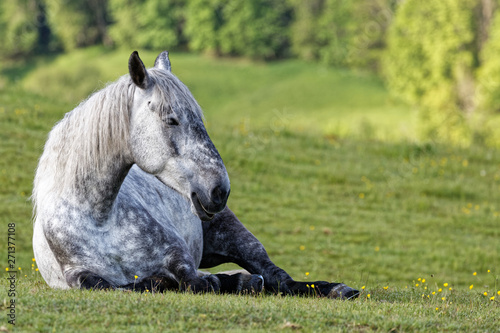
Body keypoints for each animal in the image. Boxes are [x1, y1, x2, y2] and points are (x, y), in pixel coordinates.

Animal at [32, 51, 360, 298]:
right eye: (171, 119)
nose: (219, 190)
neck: (100, 218)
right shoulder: (77, 275)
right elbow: (106, 284)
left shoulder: (178, 255)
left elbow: (193, 280)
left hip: (237, 237)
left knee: (279, 278)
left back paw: (335, 289)